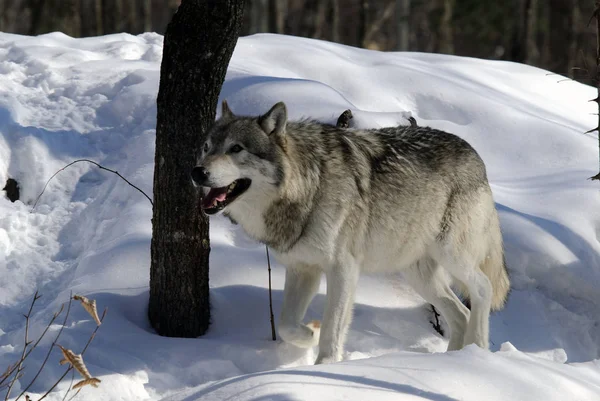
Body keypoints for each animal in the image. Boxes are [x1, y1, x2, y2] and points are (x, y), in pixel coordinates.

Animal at [192, 100, 510, 362]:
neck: (309, 185)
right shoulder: (302, 269)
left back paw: (476, 352)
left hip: (451, 255)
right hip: (419, 276)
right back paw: (452, 360)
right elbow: (285, 325)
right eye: (206, 147)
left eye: (236, 149)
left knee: (483, 289)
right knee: (461, 314)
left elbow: (333, 327)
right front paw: (311, 332)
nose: (197, 172)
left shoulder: (342, 268)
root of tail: (476, 156)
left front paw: (325, 366)